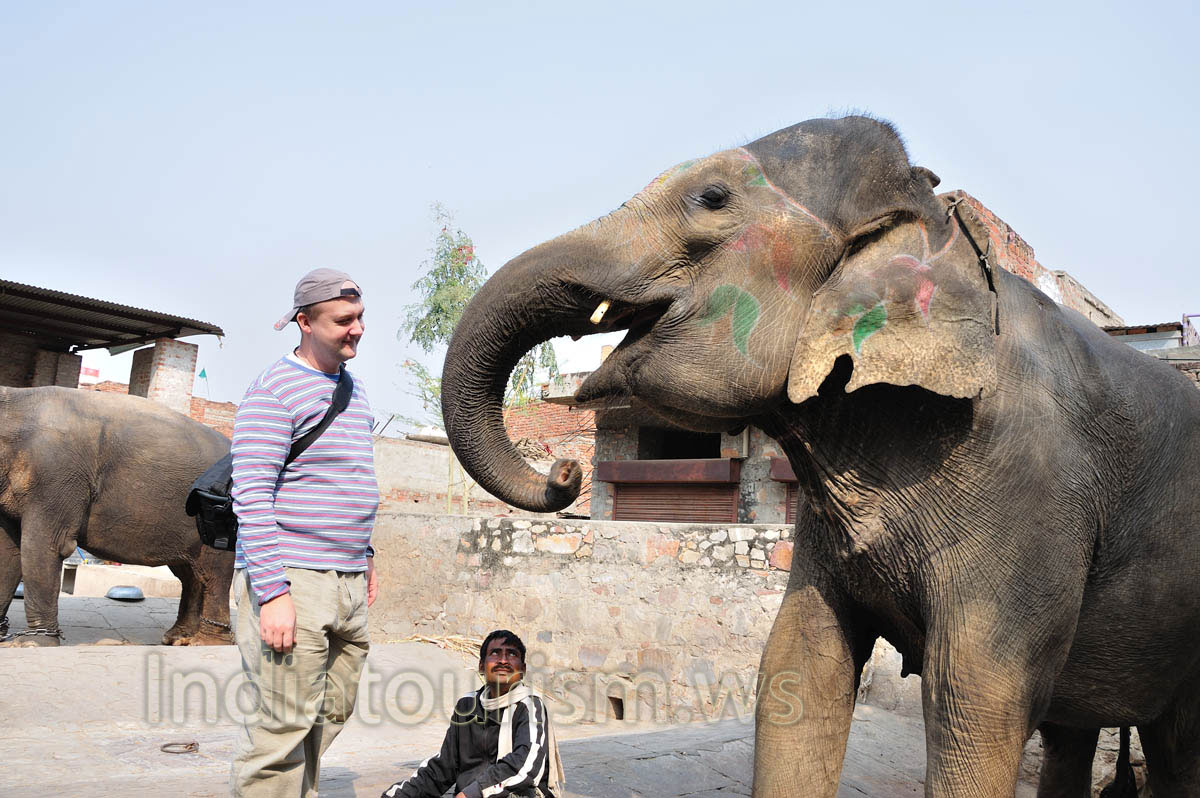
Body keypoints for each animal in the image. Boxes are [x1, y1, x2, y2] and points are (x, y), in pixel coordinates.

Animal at [0, 386, 234, 646]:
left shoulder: (55, 475)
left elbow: (46, 545)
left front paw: (32, 644)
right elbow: (9, 551)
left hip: (220, 513)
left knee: (214, 573)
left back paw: (206, 642)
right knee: (189, 573)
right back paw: (177, 638)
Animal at [440, 116, 1200, 796]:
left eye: (712, 198)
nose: (564, 473)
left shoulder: (1031, 497)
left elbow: (975, 699)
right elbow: (800, 665)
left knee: (1172, 751)